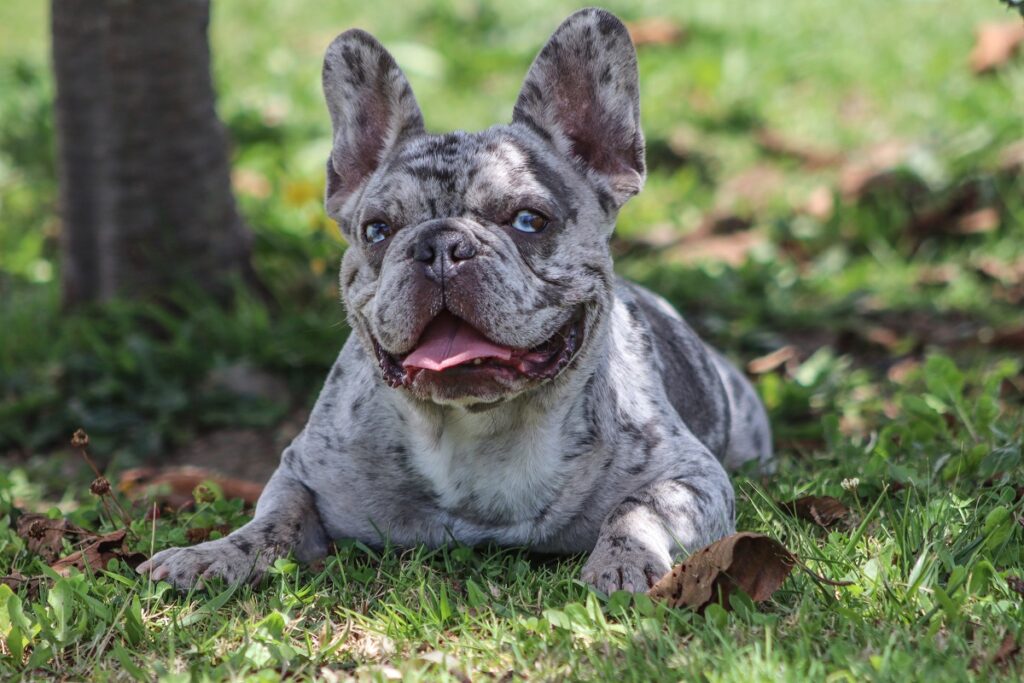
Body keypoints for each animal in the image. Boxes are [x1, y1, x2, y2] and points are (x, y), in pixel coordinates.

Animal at [140, 7, 770, 593]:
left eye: (529, 221)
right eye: (377, 230)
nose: (441, 245)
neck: (478, 431)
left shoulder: (690, 477)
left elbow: (637, 509)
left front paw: (623, 562)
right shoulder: (302, 473)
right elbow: (270, 521)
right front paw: (213, 553)